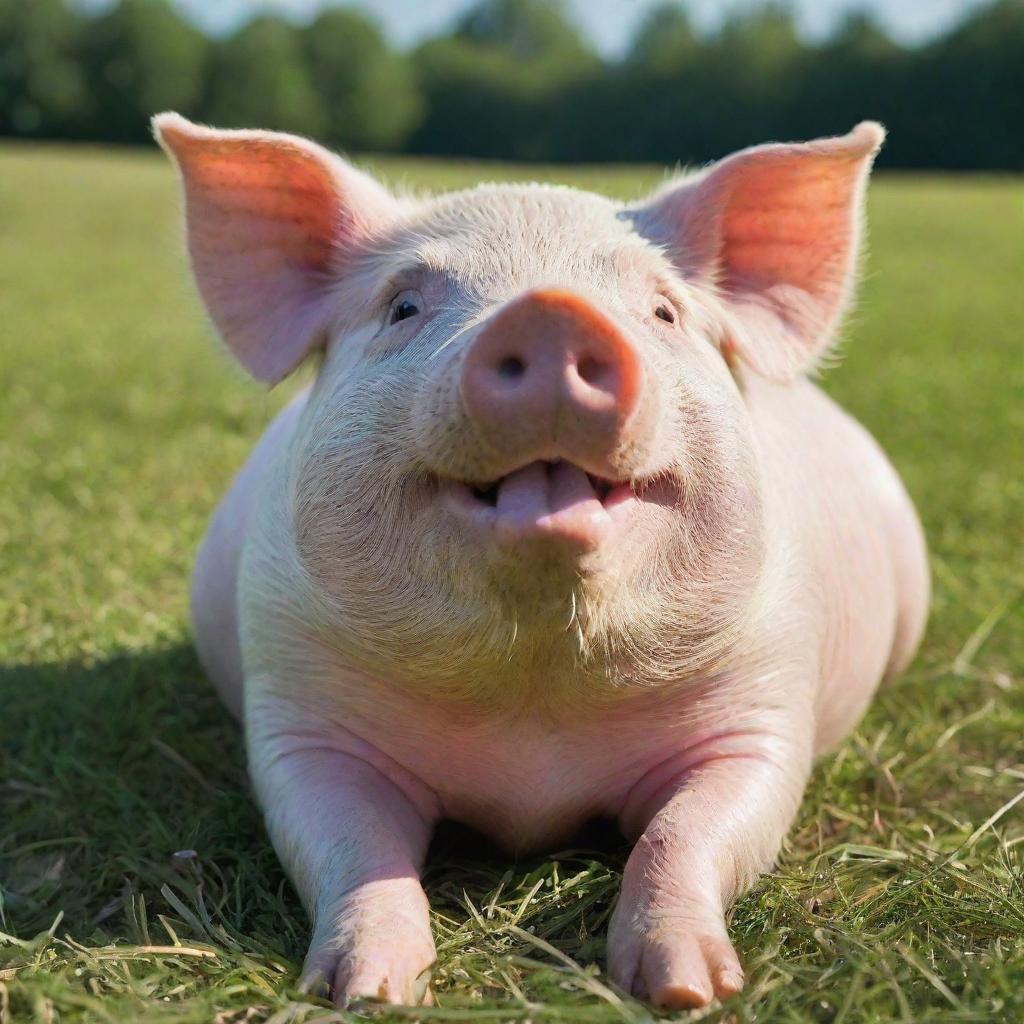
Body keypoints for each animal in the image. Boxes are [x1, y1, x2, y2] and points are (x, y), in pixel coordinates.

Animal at [151, 110, 929, 1007]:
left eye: (663, 311)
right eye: (403, 305)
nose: (551, 314)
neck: (534, 718)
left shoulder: (762, 709)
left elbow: (687, 832)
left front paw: (689, 992)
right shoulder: (298, 711)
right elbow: (354, 848)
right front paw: (370, 991)